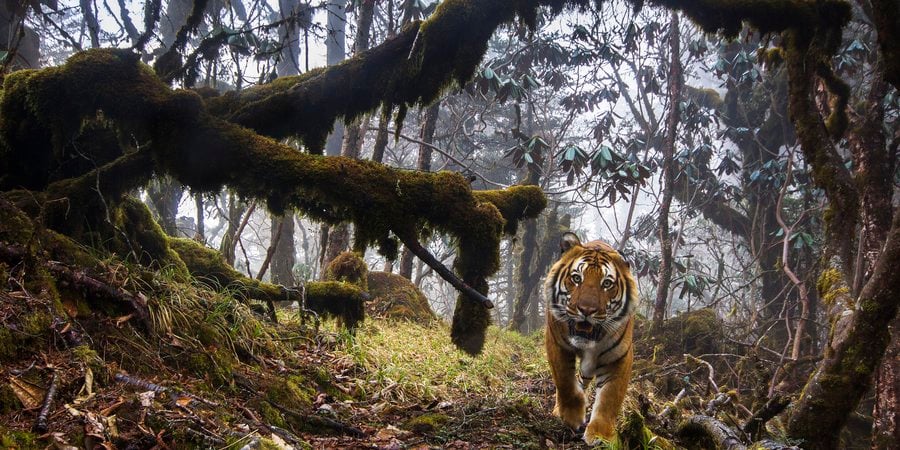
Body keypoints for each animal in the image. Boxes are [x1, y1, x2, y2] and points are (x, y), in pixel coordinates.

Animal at [544, 232, 637, 444]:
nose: (586, 310)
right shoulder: (556, 343)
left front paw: (600, 435)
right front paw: (571, 417)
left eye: (607, 283)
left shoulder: (619, 357)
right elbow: (565, 383)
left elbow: (610, 398)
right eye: (576, 278)